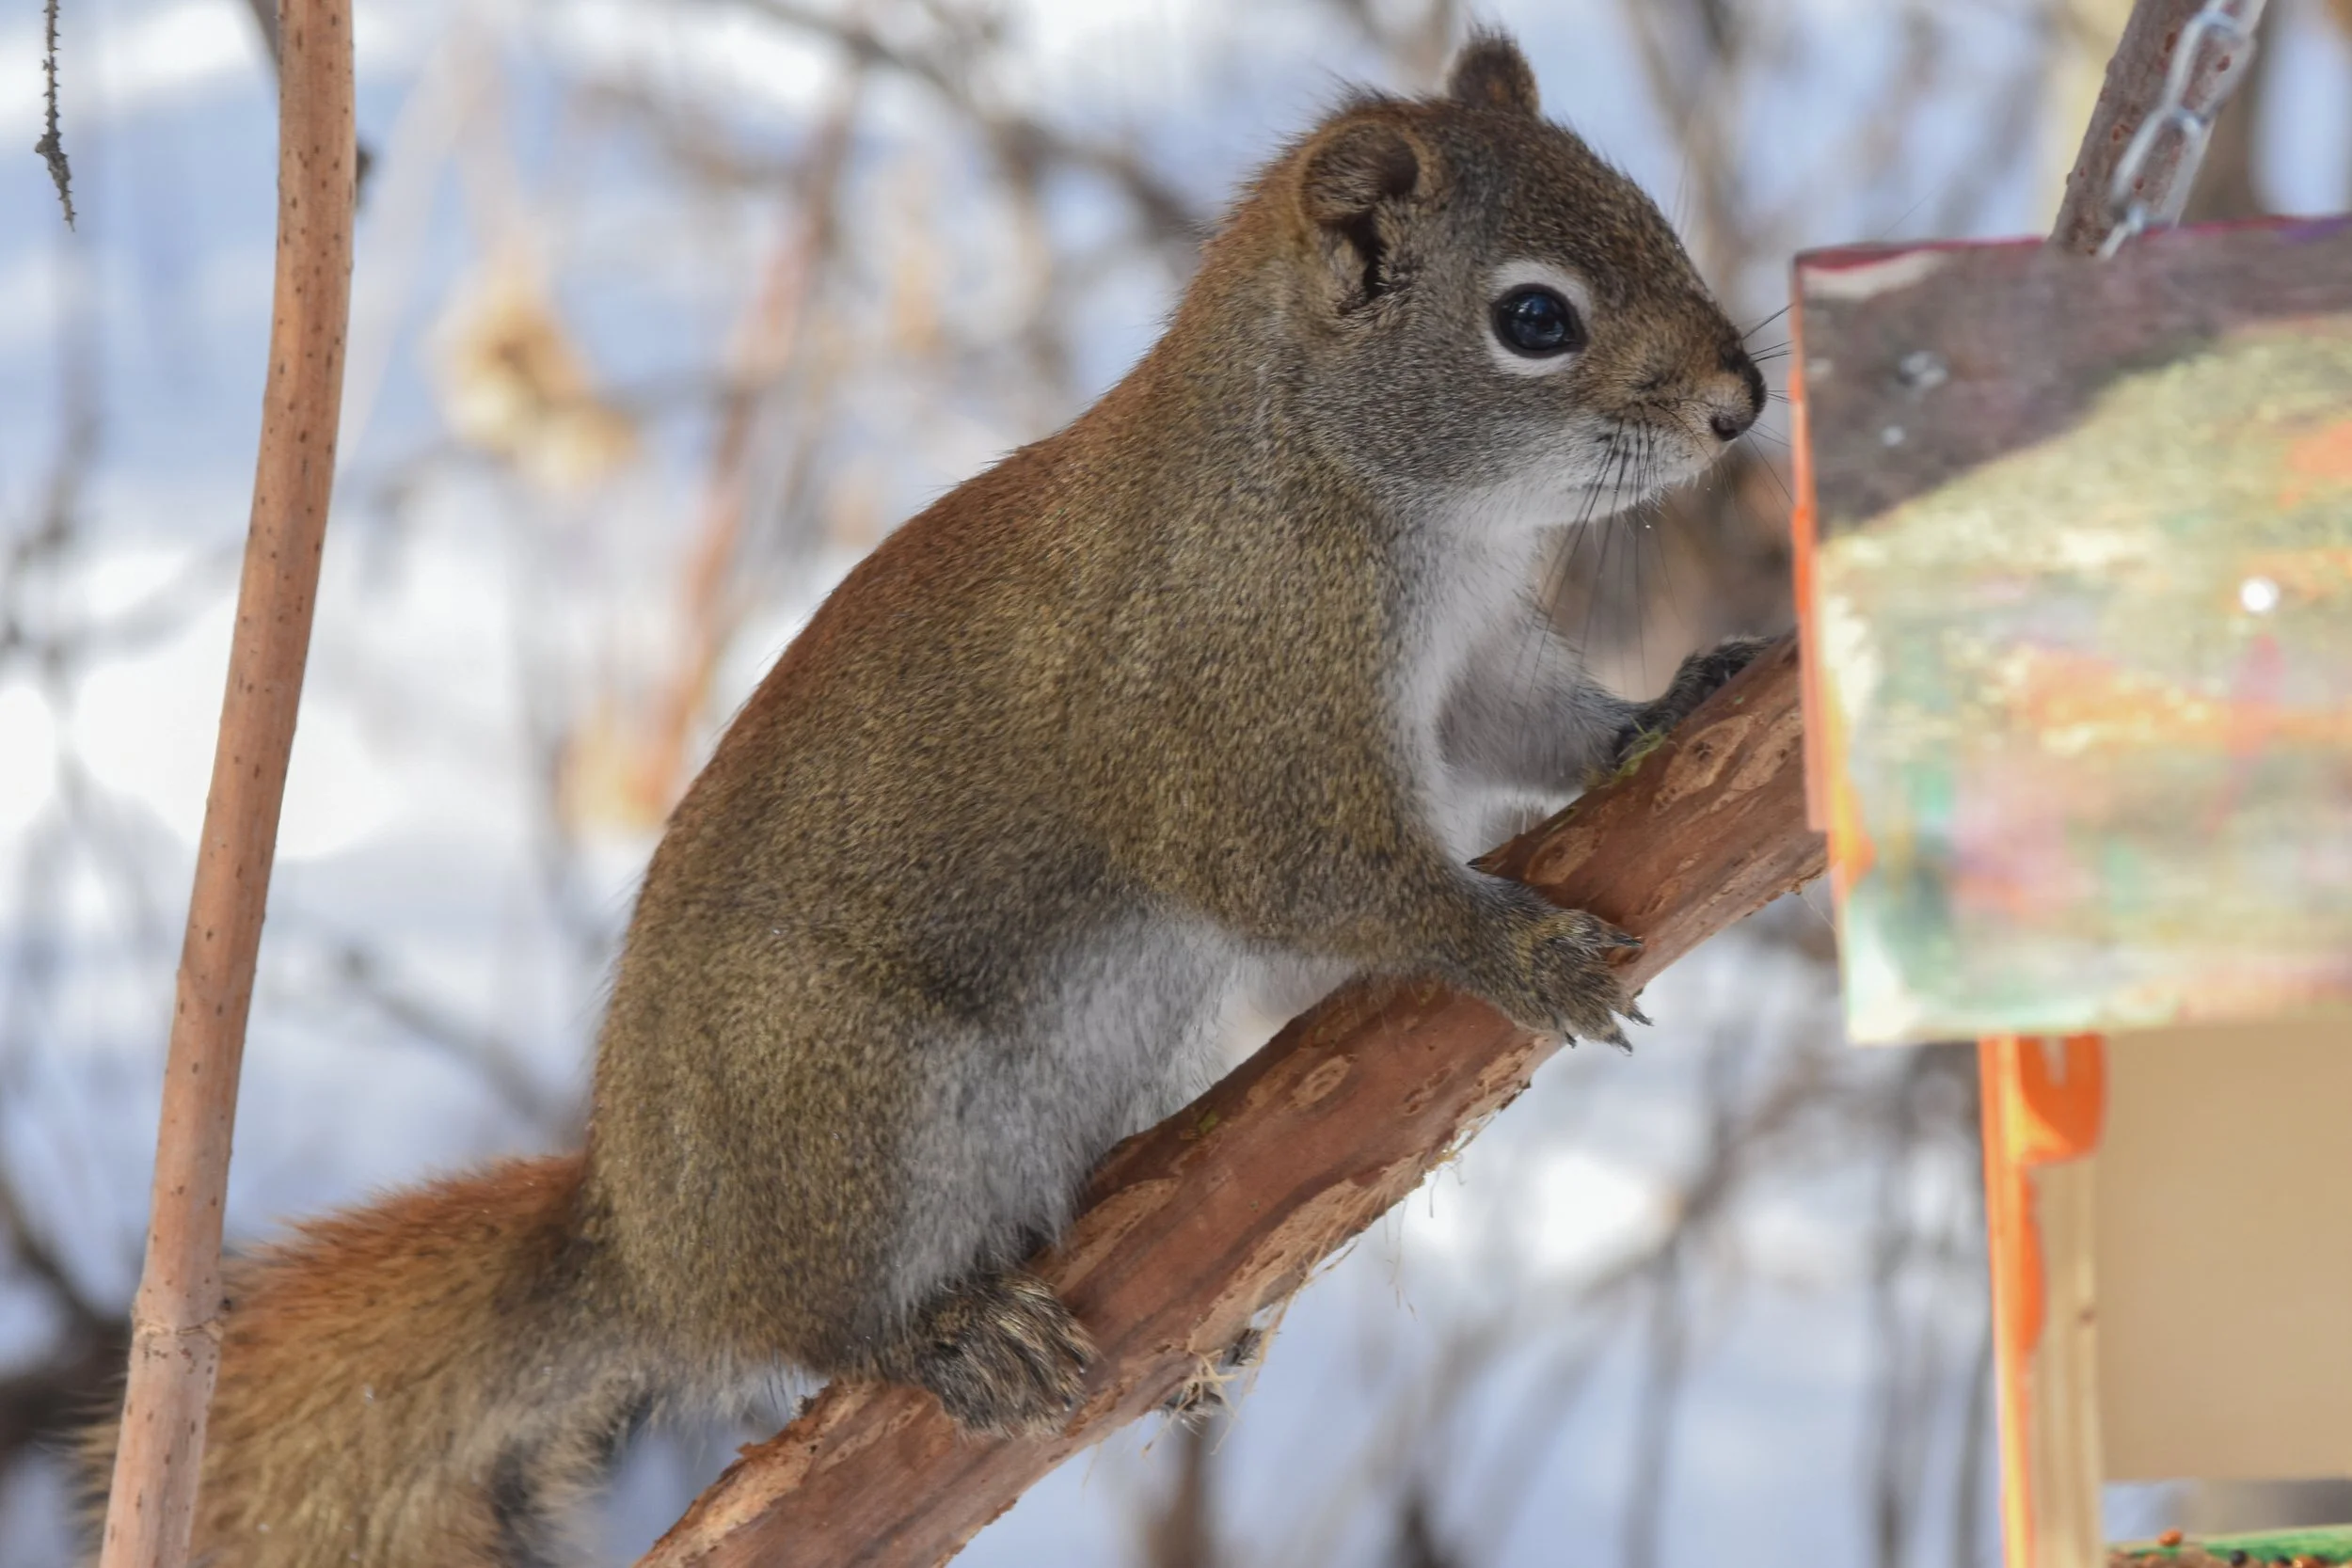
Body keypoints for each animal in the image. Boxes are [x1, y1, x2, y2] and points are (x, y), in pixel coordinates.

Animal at [87, 31, 1766, 1568]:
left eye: (1649, 211)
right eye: (1534, 317)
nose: (1742, 400)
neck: (1364, 488)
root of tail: (648, 1239)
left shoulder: (1471, 666)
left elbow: (1539, 726)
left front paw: (1676, 701)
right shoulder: (1229, 716)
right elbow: (1320, 876)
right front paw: (1510, 947)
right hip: (851, 1100)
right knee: (814, 1320)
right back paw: (945, 1335)